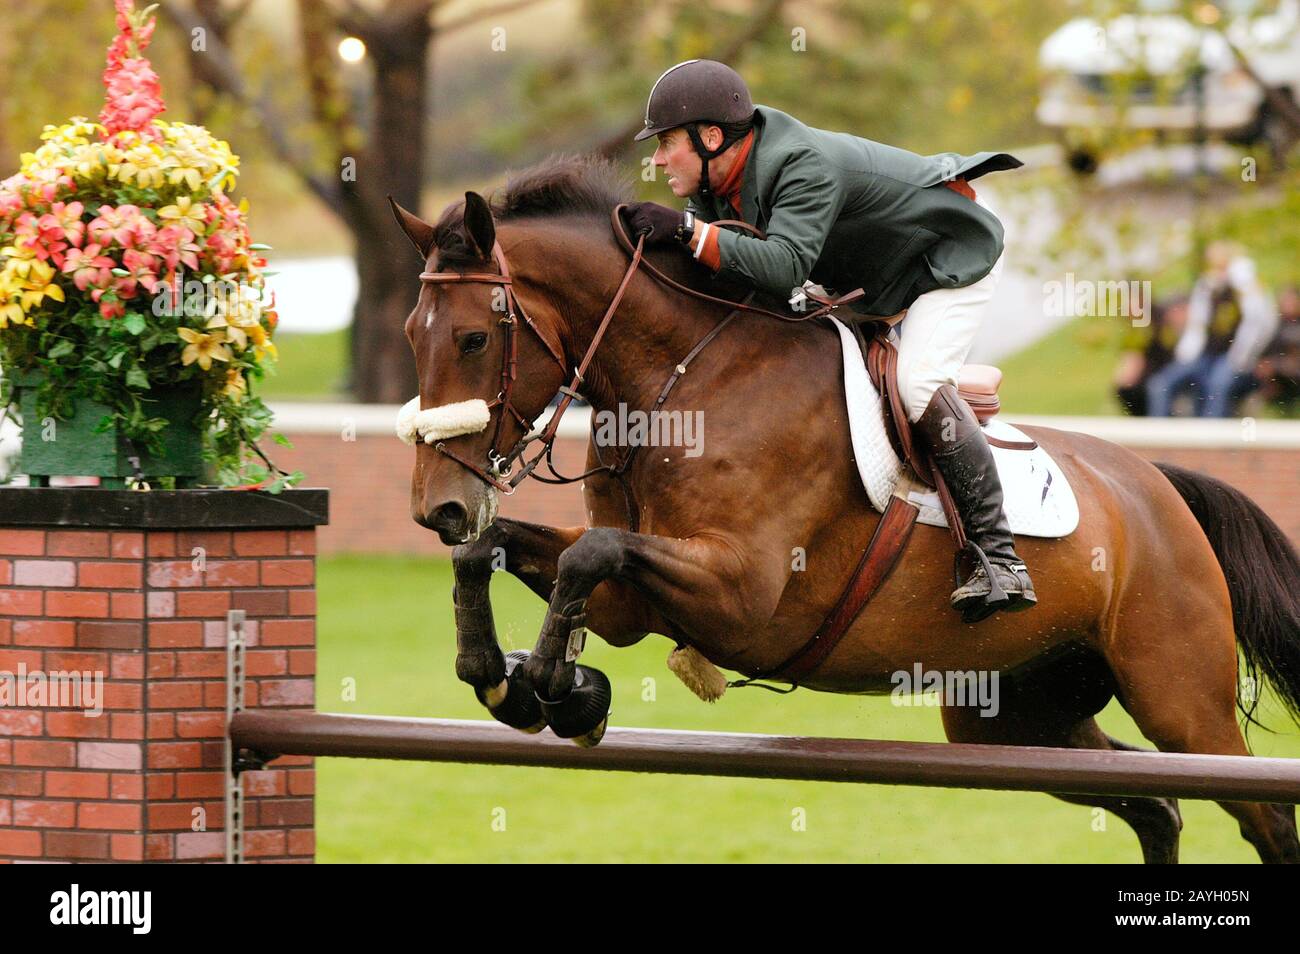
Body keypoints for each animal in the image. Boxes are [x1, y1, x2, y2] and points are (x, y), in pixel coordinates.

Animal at [387, 158, 1300, 868]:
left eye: (474, 338)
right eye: (409, 335)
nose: (439, 508)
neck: (681, 383)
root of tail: (1157, 484)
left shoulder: (743, 593)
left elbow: (590, 553)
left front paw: (552, 685)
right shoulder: (629, 602)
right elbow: (516, 554)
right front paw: (508, 677)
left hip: (1183, 701)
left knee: (1259, 814)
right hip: (1016, 715)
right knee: (1157, 802)